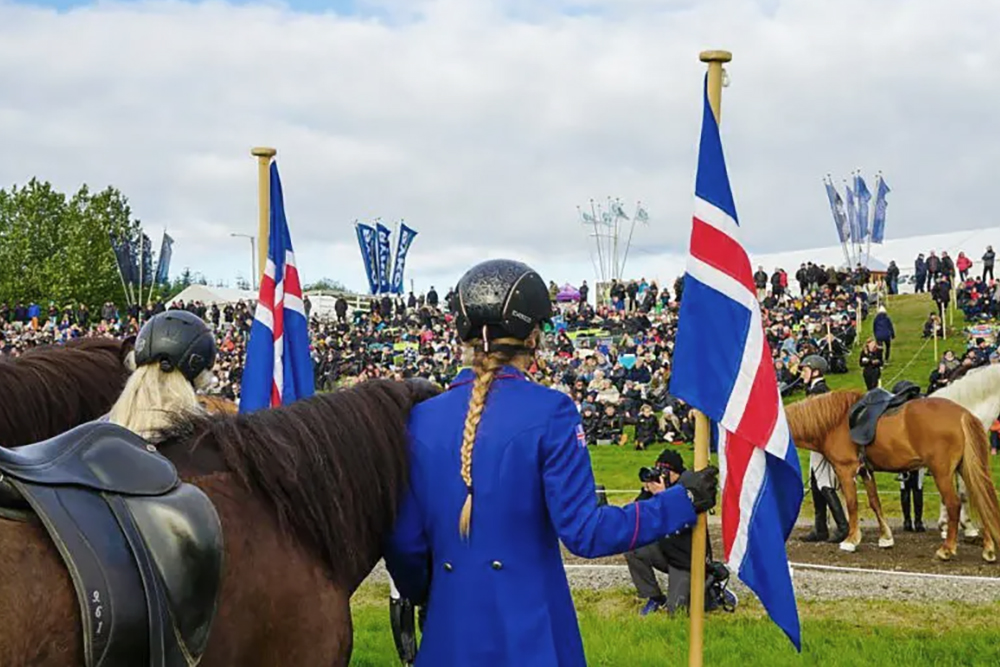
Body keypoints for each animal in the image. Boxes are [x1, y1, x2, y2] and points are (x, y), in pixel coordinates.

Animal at [788, 392, 1000, 564]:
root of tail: (963, 414)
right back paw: (989, 549)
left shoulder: (846, 470)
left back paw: (946, 550)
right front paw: (885, 537)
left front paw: (851, 540)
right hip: (966, 468)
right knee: (981, 499)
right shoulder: (866, 471)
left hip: (942, 473)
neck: (837, 422)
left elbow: (852, 504)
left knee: (954, 504)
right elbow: (875, 502)